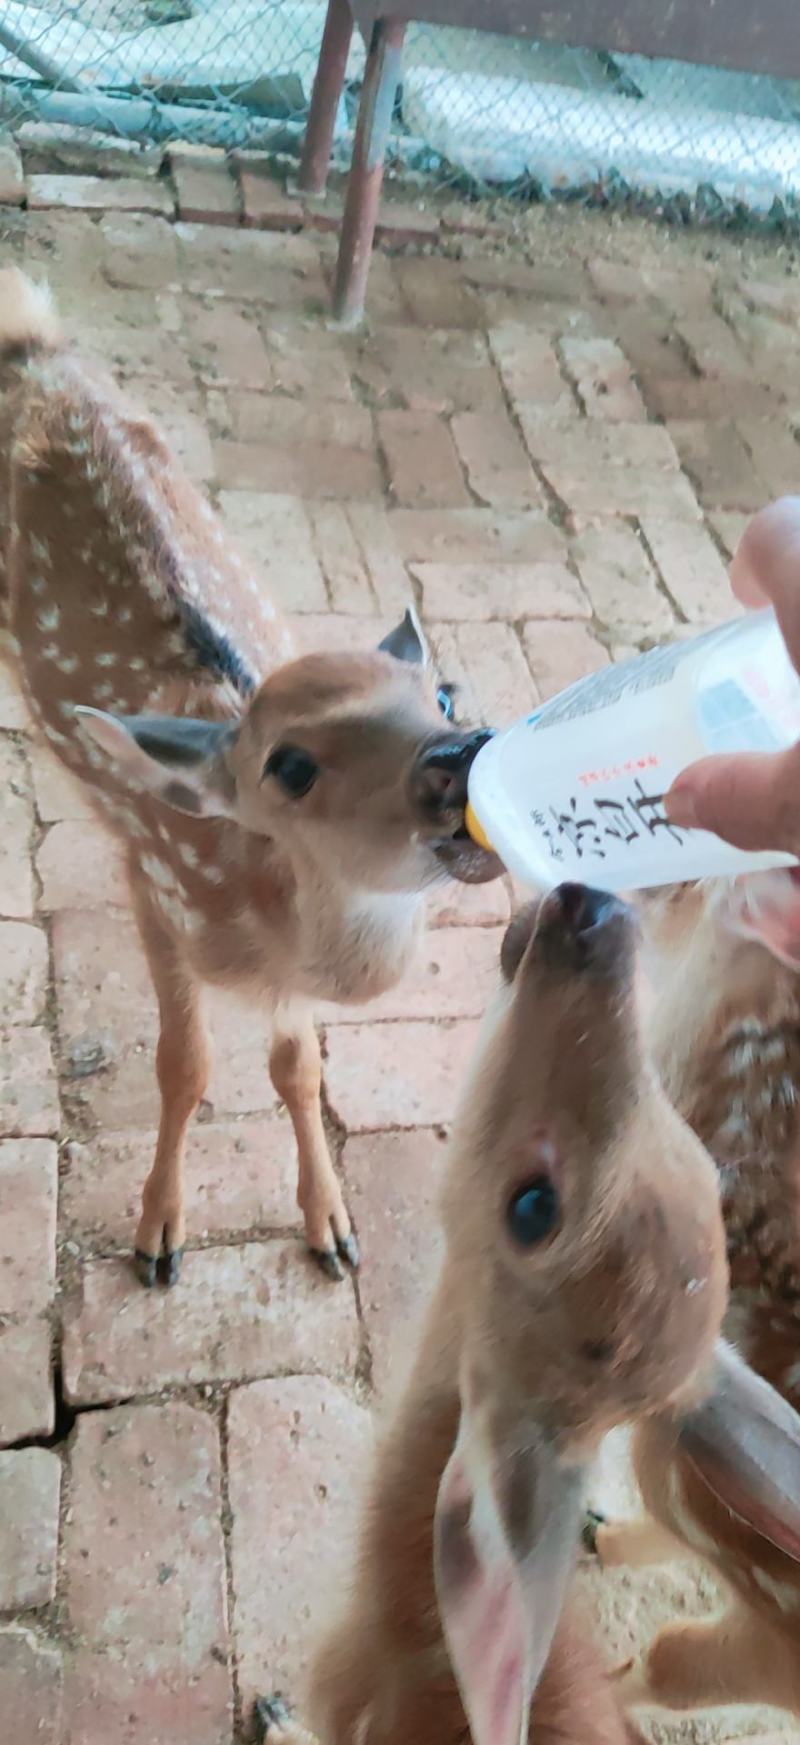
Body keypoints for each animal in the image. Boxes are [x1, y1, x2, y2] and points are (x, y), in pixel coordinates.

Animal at [0, 267, 501, 1289]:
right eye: (291, 765)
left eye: (442, 690)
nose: (457, 755)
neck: (259, 912)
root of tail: (28, 344)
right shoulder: (151, 881)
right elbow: (183, 1064)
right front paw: (159, 1235)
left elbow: (298, 1069)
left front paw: (333, 1226)